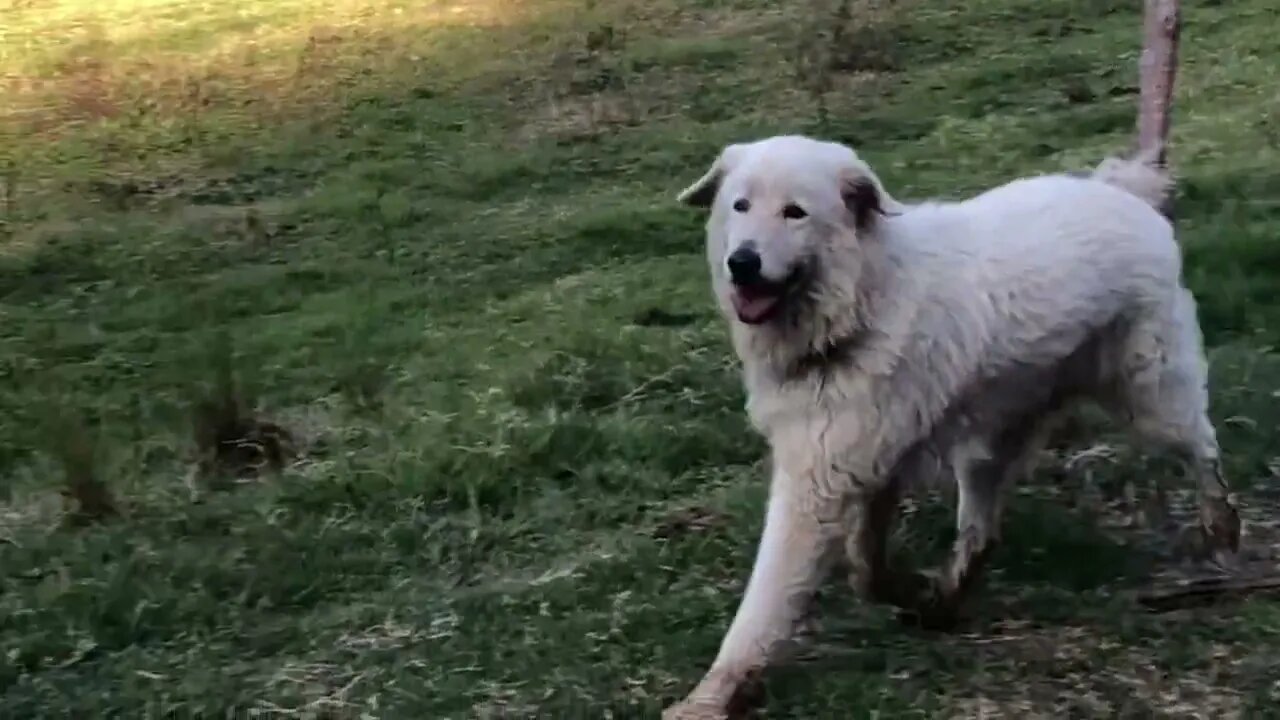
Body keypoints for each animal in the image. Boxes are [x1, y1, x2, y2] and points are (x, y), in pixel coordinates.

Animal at [670, 135, 1239, 717]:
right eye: (740, 205)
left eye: (795, 212)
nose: (742, 263)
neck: (861, 302)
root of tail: (1122, 192)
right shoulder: (869, 465)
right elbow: (865, 565)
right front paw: (905, 592)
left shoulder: (815, 487)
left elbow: (763, 604)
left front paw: (710, 697)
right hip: (990, 442)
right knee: (982, 532)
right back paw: (944, 599)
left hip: (1150, 398)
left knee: (1203, 448)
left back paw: (1221, 528)